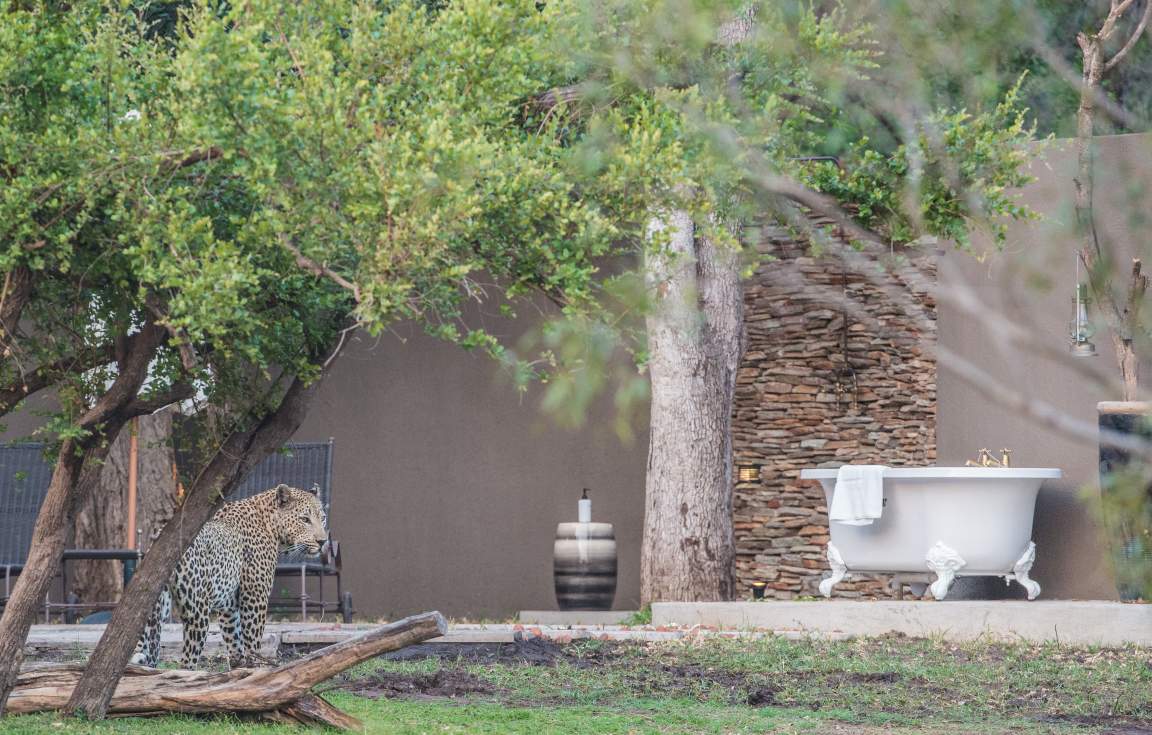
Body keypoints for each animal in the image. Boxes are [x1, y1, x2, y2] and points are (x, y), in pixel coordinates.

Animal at [137, 486, 334, 672]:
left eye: (323, 518)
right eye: (305, 519)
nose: (323, 541)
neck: (270, 525)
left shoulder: (229, 607)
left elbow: (234, 642)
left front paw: (238, 671)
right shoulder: (255, 600)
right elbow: (253, 643)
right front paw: (257, 670)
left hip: (155, 613)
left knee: (151, 655)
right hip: (197, 612)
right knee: (187, 662)